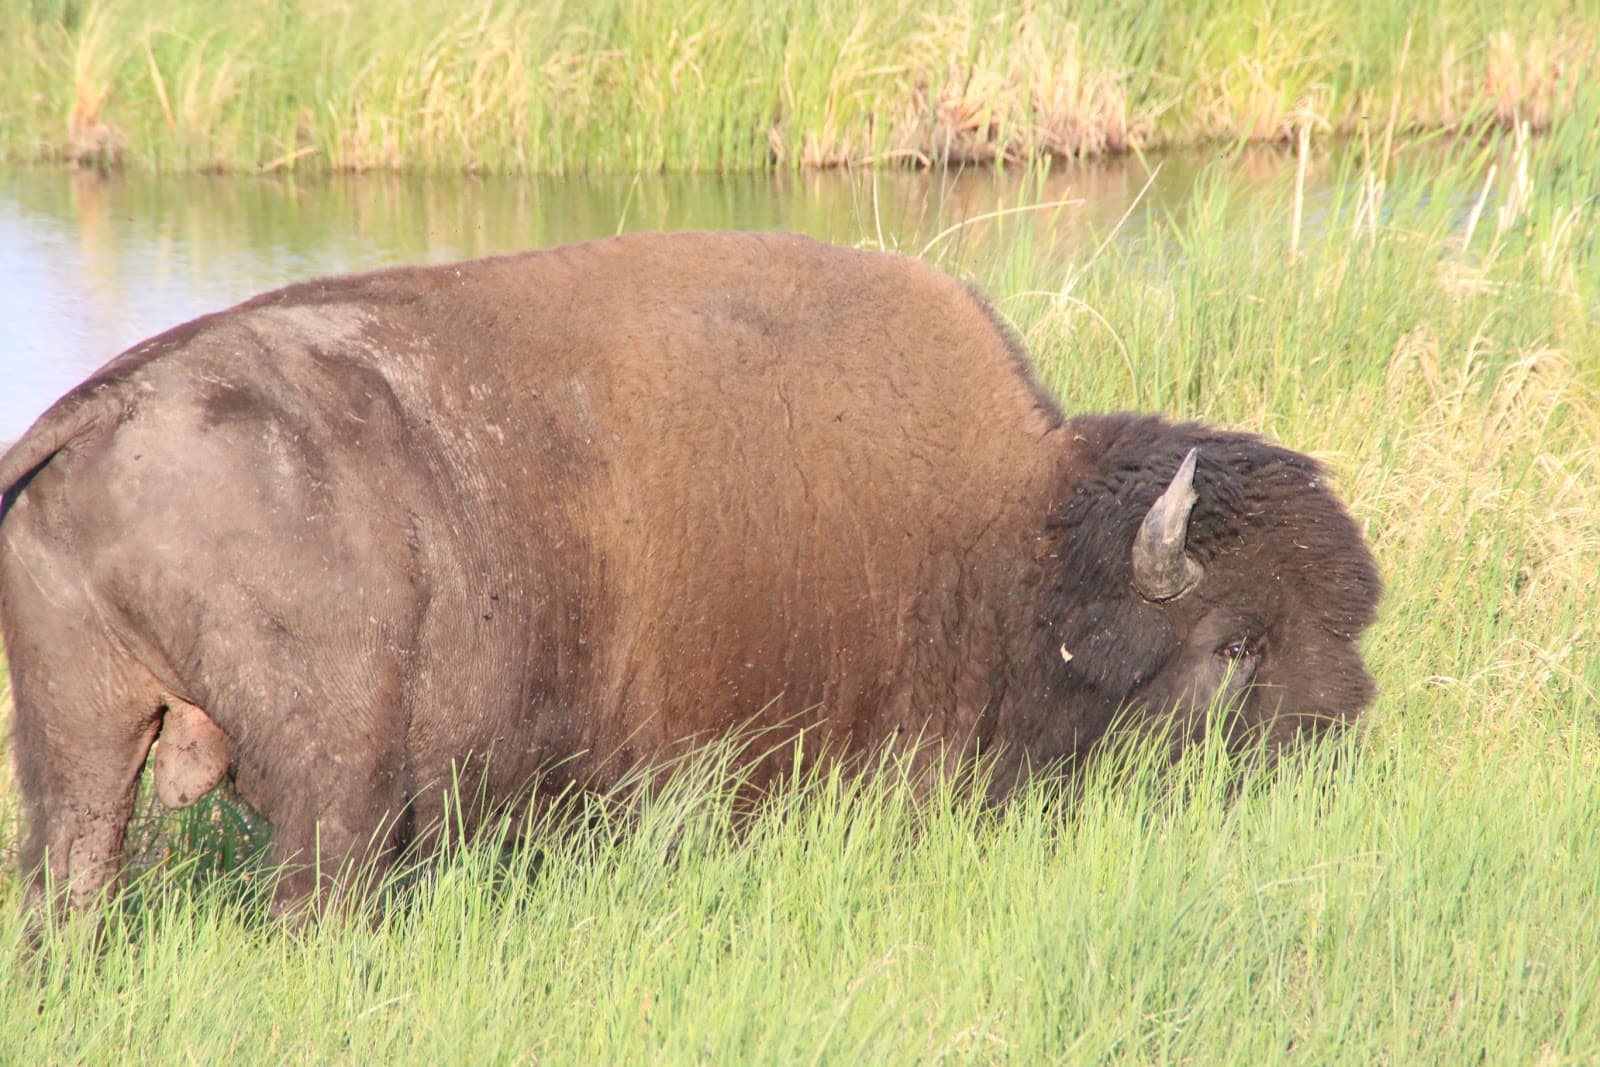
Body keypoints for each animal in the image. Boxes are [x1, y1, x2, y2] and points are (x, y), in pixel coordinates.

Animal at [0, 232, 1379, 918]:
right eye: (1236, 644)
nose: (1334, 770)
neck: (1014, 549)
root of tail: (109, 401)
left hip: (84, 738)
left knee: (71, 886)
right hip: (336, 781)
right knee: (312, 897)